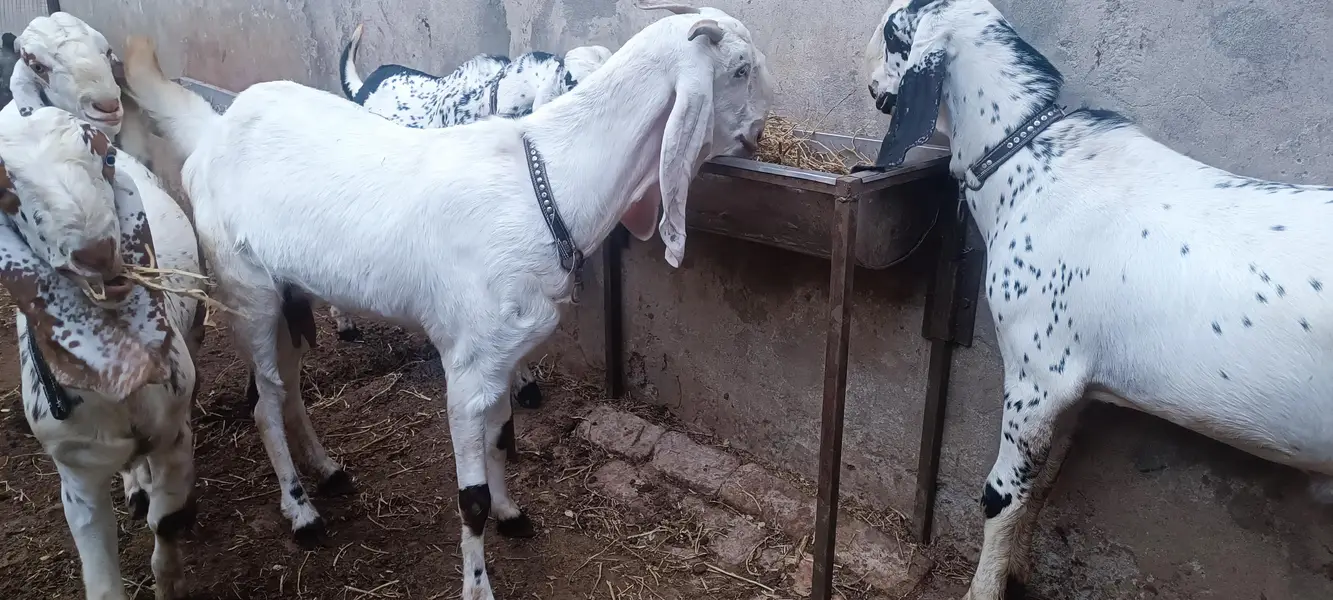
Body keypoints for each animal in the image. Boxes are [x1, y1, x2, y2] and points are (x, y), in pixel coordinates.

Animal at [0, 105, 203, 600]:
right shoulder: (76, 470)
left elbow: (166, 521)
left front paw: (169, 583)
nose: (95, 253)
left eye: (105, 157)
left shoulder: (173, 433)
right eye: (4, 192)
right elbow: (100, 578)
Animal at [123, 1, 772, 596]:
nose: (760, 131)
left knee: (285, 390)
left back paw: (328, 472)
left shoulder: (505, 354)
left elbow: (503, 440)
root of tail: (215, 128)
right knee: (263, 403)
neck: (547, 184)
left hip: (290, 292)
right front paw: (478, 583)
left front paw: (512, 512)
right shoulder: (466, 366)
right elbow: (471, 497)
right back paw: (302, 512)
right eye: (740, 69)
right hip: (247, 288)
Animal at [861, 1, 1333, 598]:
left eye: (891, 34)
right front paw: (1018, 570)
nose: (869, 81)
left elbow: (1002, 494)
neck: (1031, 167)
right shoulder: (1078, 388)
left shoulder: (1038, 375)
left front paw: (984, 586)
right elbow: (1041, 486)